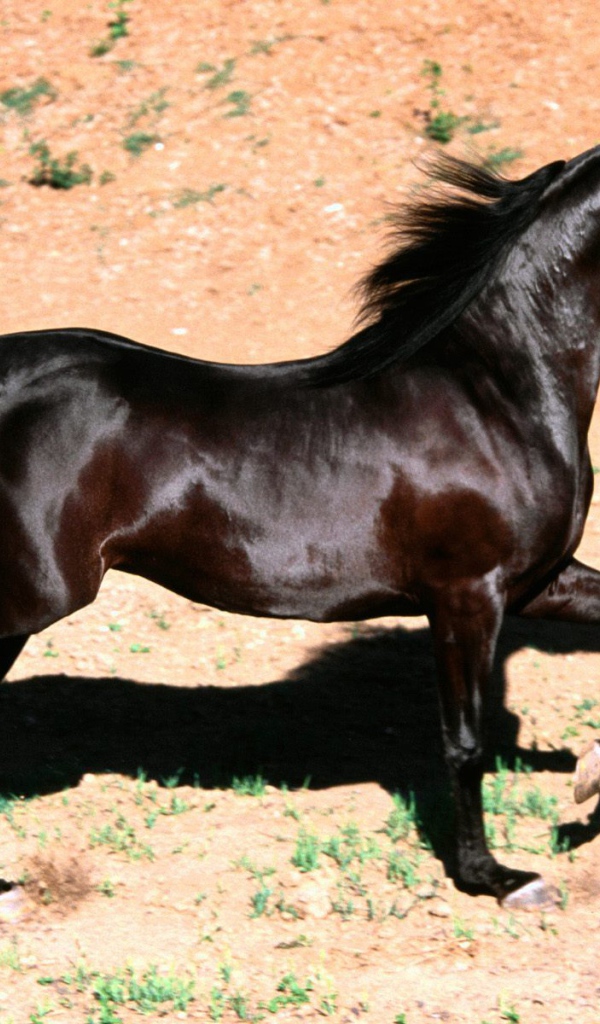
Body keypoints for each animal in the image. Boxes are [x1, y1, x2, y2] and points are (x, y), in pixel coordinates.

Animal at [3, 146, 600, 909]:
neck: (497, 393)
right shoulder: (467, 593)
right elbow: (464, 743)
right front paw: (495, 879)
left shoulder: (538, 582)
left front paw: (585, 781)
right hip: (30, 601)